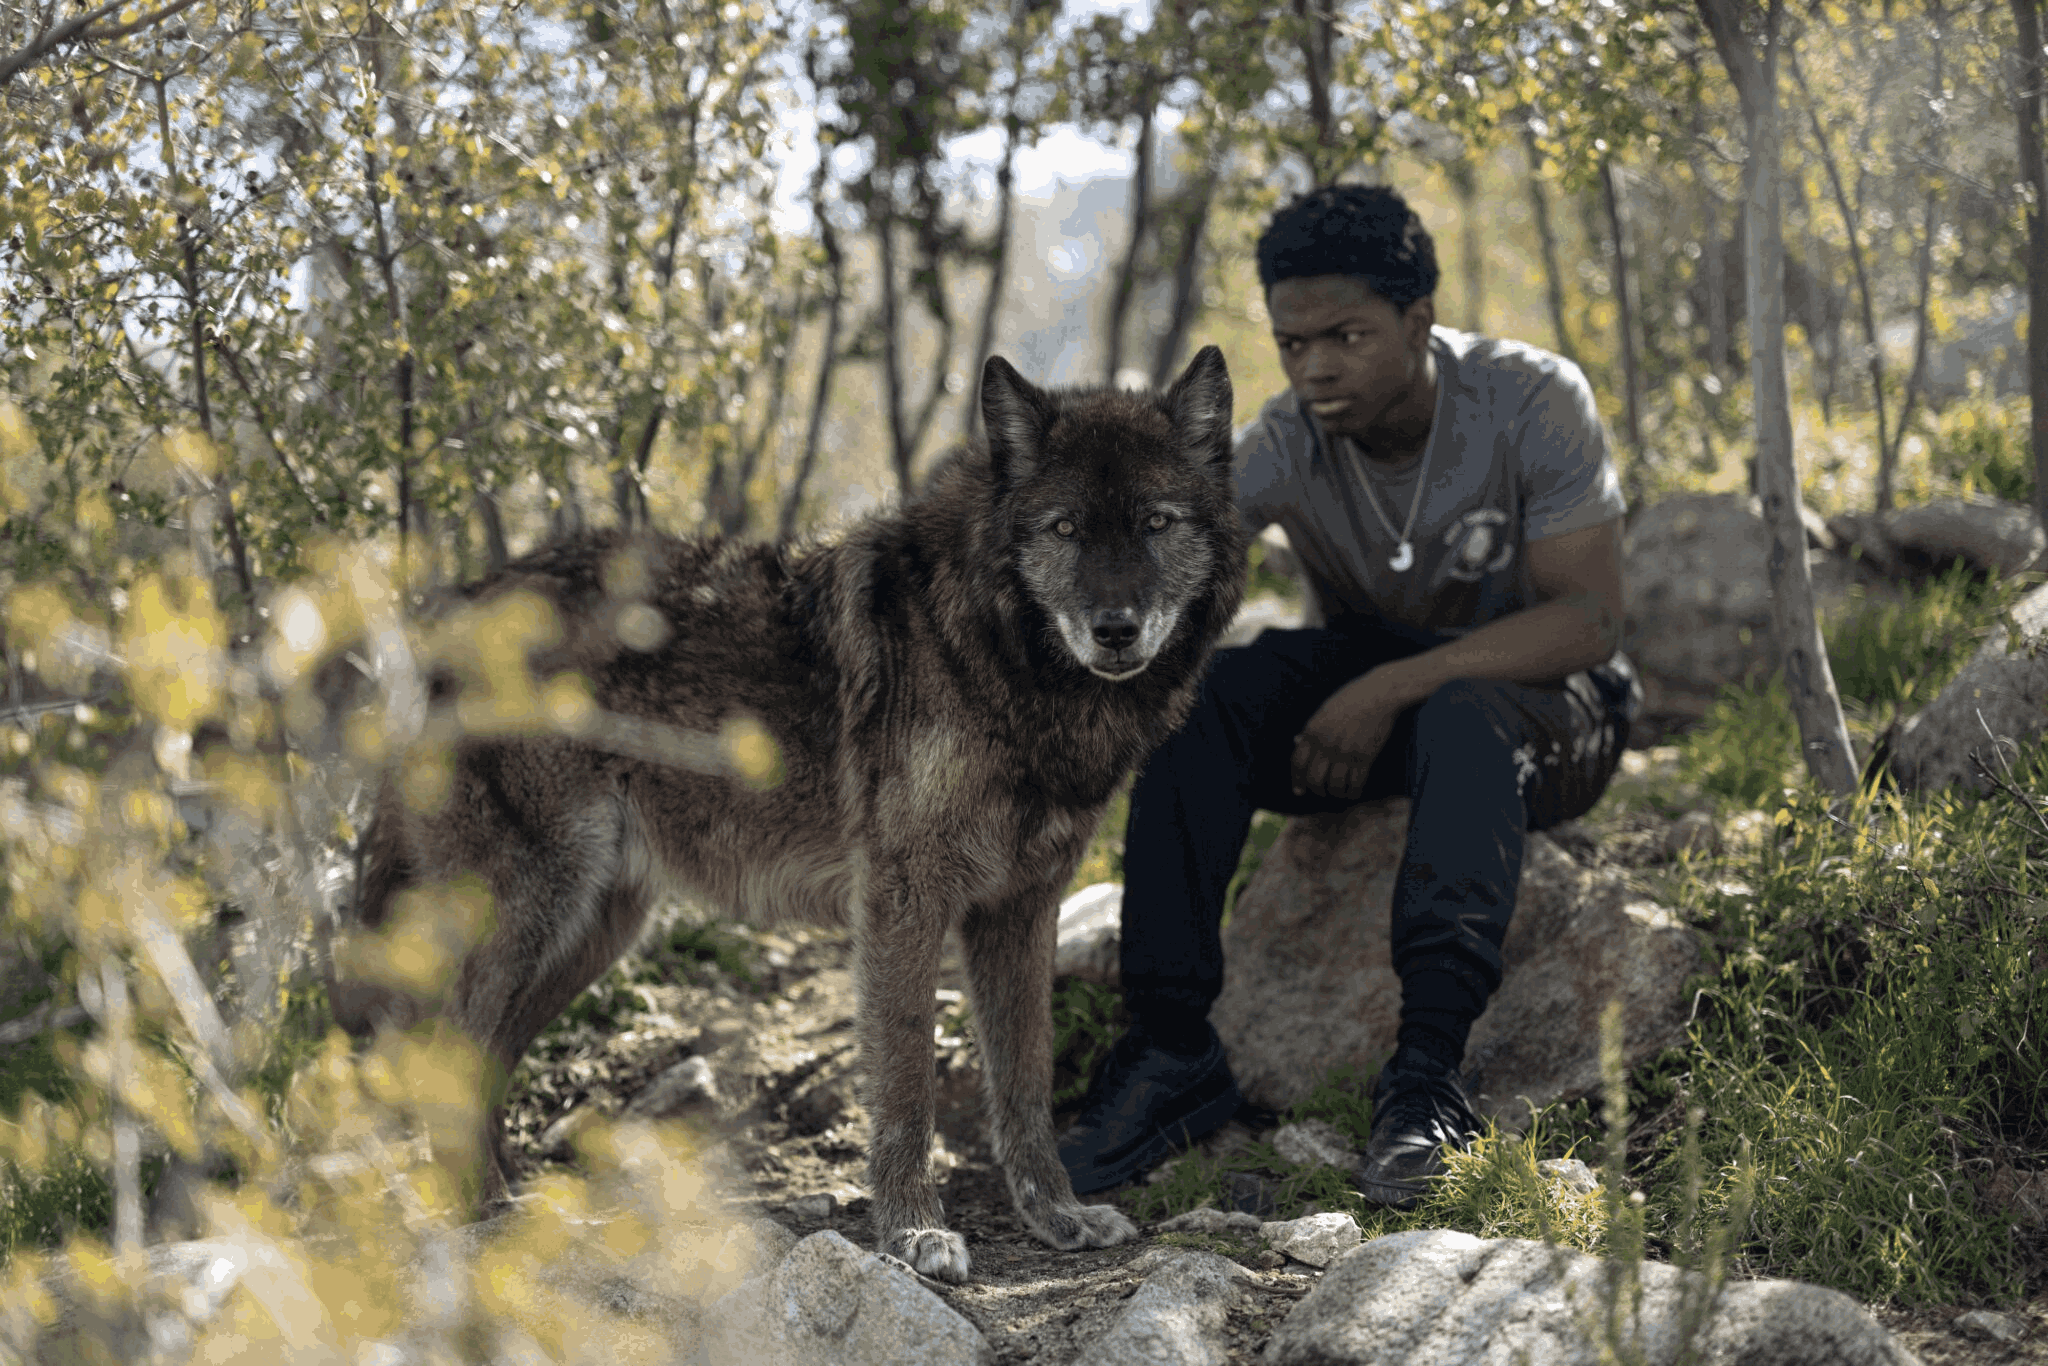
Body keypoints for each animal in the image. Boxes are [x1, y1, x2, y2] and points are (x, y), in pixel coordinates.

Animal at [330, 347, 1247, 1282]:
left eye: (1157, 523)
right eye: (1064, 529)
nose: (1114, 630)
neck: (999, 663)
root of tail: (443, 612)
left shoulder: (1021, 909)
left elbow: (1025, 1078)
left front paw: (1056, 1217)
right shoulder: (904, 900)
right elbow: (906, 1081)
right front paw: (913, 1232)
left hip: (593, 930)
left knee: (479, 1060)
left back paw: (513, 1209)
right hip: (535, 910)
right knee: (445, 1051)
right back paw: (474, 1220)